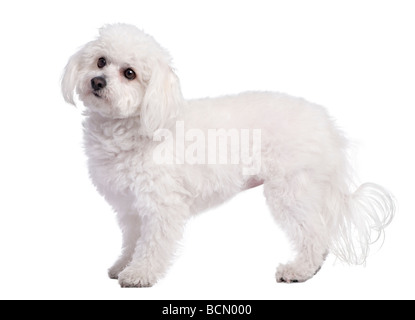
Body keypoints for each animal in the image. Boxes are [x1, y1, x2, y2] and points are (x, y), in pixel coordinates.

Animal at [62, 23, 396, 286]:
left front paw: (139, 273)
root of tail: (327, 125)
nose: (97, 81)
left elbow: (153, 244)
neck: (139, 125)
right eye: (101, 61)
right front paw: (124, 265)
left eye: (129, 73)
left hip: (291, 189)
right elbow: (133, 240)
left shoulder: (162, 205)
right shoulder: (131, 207)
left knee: (314, 233)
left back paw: (300, 270)